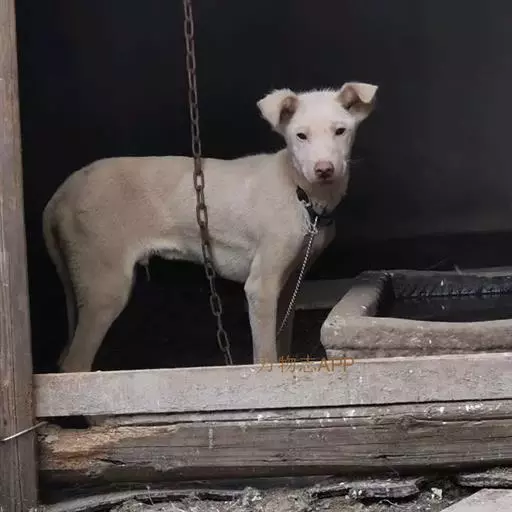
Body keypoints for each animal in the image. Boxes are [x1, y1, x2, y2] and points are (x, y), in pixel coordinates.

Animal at [43, 82, 378, 372]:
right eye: (301, 136)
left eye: (340, 131)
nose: (324, 170)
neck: (300, 193)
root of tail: (61, 192)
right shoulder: (260, 285)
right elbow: (264, 355)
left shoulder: (288, 285)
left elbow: (280, 344)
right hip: (106, 286)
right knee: (75, 364)